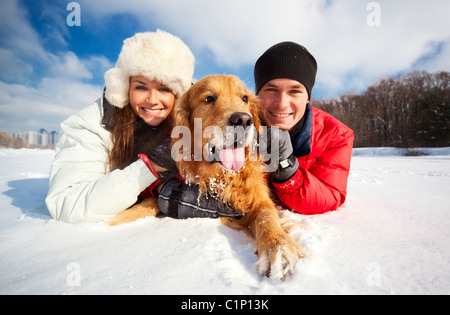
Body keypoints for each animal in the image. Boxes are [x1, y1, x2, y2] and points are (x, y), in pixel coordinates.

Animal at [110, 75, 304, 280]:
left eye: (244, 98)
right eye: (209, 98)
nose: (243, 120)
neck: (220, 176)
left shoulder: (259, 197)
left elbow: (266, 216)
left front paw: (279, 249)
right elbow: (141, 206)